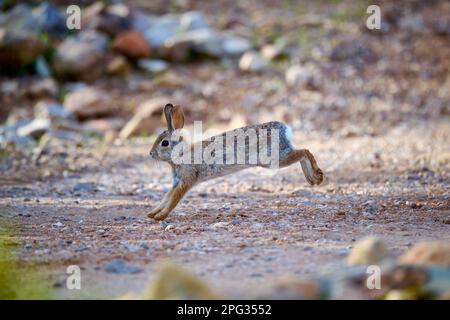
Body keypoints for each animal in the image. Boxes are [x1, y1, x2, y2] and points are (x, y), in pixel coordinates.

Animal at [148, 104, 324, 221]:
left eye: (164, 143)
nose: (150, 154)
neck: (180, 154)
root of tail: (285, 129)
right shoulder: (176, 182)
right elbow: (166, 198)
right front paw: (152, 213)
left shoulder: (186, 180)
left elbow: (173, 200)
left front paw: (160, 216)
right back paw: (313, 178)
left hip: (275, 158)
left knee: (304, 152)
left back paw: (317, 176)